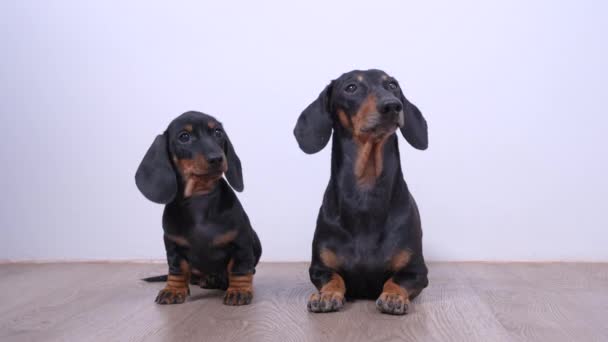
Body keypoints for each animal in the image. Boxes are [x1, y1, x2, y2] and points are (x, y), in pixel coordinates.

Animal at [135, 111, 262, 306]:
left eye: (218, 132)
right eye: (184, 137)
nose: (217, 158)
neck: (199, 197)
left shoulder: (241, 242)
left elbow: (239, 269)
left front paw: (239, 290)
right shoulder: (173, 246)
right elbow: (177, 270)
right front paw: (173, 290)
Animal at [294, 69, 428, 316]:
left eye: (392, 85)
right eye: (351, 87)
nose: (392, 105)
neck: (365, 194)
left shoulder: (417, 272)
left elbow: (395, 280)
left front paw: (393, 296)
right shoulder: (319, 268)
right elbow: (335, 278)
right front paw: (326, 294)